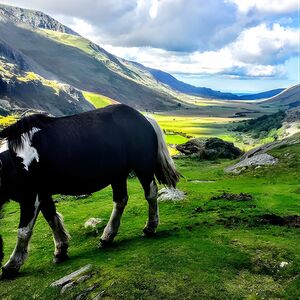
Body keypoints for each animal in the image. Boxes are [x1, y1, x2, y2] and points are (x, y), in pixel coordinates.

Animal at [0, 104, 179, 278]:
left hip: (142, 168)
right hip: (118, 175)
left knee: (150, 193)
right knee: (120, 200)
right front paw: (61, 250)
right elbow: (52, 218)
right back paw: (107, 237)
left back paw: (150, 227)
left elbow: (24, 231)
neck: (14, 159)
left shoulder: (30, 197)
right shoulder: (43, 194)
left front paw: (11, 265)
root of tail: (144, 118)